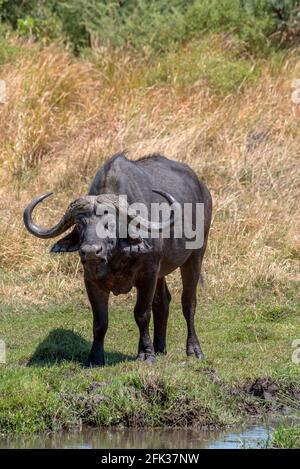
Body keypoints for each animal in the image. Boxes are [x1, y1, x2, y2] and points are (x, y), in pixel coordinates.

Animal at [23, 154, 212, 366]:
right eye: (80, 226)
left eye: (110, 224)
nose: (91, 252)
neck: (116, 257)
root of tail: (202, 189)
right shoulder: (91, 281)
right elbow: (100, 321)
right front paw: (95, 357)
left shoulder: (148, 275)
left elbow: (142, 314)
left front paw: (146, 354)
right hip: (162, 271)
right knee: (163, 301)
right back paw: (160, 347)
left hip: (196, 255)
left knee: (188, 303)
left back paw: (193, 349)